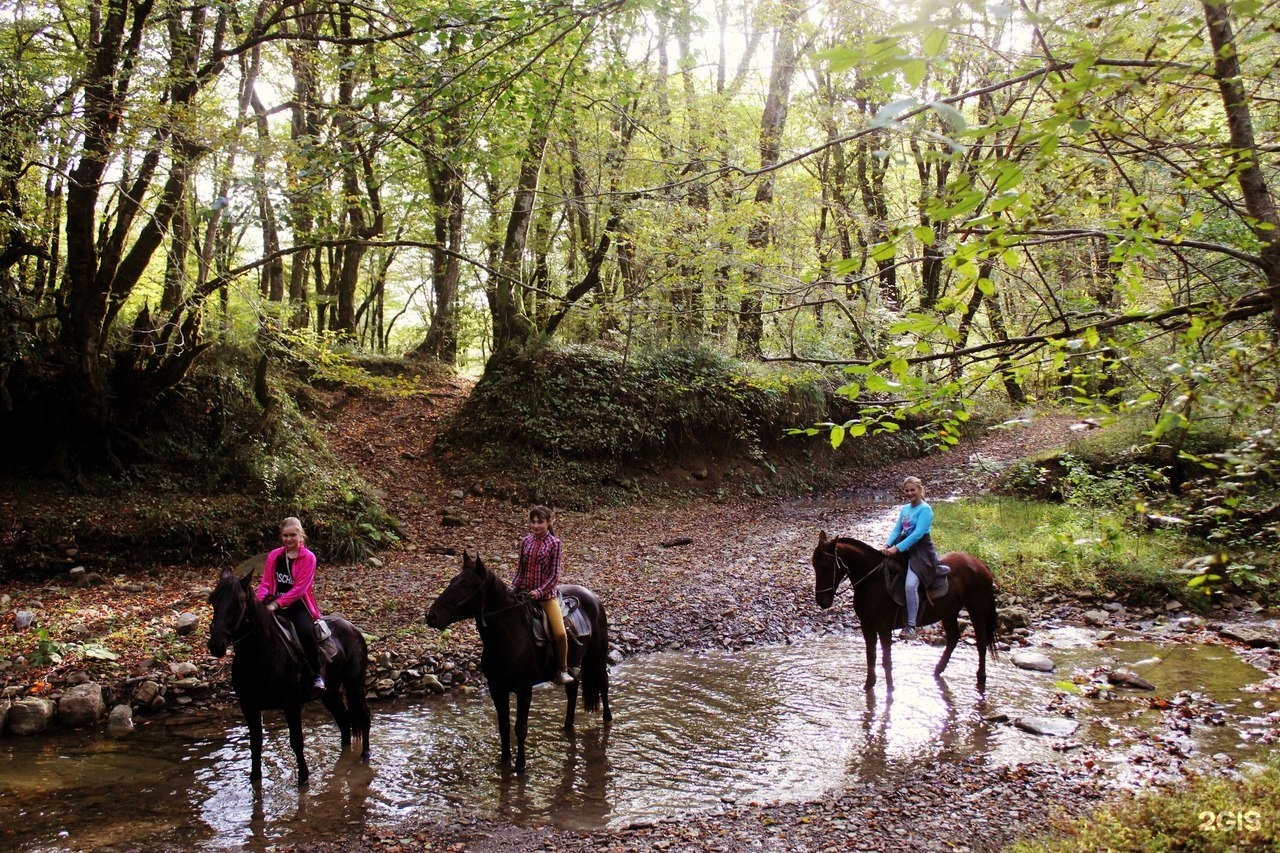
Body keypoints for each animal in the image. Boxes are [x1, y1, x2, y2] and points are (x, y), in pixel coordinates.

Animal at [207, 563, 371, 783]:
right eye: (213, 601)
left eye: (237, 604)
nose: (216, 645)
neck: (259, 655)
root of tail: (353, 628)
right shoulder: (248, 706)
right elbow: (255, 743)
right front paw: (255, 778)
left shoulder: (290, 703)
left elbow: (296, 740)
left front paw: (303, 778)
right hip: (330, 692)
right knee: (344, 721)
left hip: (355, 685)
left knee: (364, 716)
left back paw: (365, 755)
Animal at [424, 548, 614, 773]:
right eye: (453, 580)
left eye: (468, 584)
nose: (431, 616)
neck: (507, 635)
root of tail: (592, 596)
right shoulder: (497, 688)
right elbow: (504, 726)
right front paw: (504, 760)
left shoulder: (524, 689)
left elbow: (520, 727)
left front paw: (520, 766)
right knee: (572, 688)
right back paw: (568, 726)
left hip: (597, 655)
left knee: (603, 684)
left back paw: (607, 720)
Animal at [808, 532, 998, 691]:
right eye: (814, 565)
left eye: (825, 566)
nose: (822, 602)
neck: (872, 581)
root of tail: (981, 565)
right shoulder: (867, 626)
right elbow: (871, 656)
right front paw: (869, 686)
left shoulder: (883, 627)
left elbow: (886, 660)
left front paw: (890, 690)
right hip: (949, 612)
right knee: (953, 639)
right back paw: (937, 671)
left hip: (977, 611)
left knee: (981, 643)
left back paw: (981, 678)